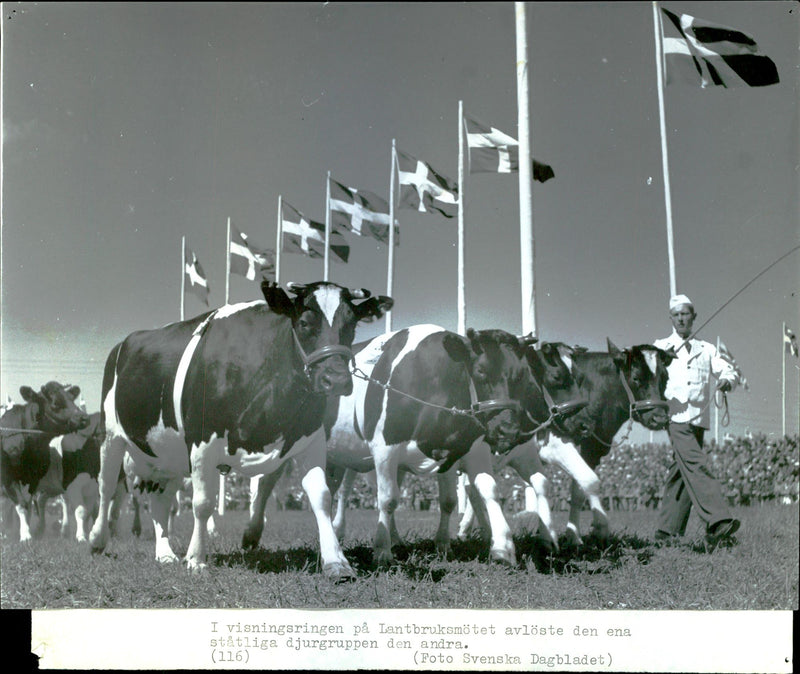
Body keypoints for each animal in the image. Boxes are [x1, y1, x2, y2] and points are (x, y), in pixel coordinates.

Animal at [0, 384, 89, 540]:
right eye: (55, 404)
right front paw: (25, 536)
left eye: (72, 399)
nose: (84, 418)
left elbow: (28, 505)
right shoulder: (7, 478)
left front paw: (28, 531)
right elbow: (21, 505)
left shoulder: (33, 479)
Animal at [90, 278, 390, 576]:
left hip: (167, 450)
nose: (336, 379)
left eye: (351, 324)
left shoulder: (310, 439)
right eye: (304, 323)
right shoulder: (201, 440)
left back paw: (164, 553)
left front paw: (336, 561)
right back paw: (97, 540)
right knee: (106, 487)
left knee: (160, 498)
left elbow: (321, 497)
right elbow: (203, 503)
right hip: (111, 436)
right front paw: (196, 559)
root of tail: (125, 342)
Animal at [255, 322, 532, 564]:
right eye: (481, 371)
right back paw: (253, 532)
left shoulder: (457, 448)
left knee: (335, 489)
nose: (508, 428)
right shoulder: (384, 447)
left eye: (520, 375)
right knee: (268, 482)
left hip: (340, 453)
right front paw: (381, 550)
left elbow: (467, 496)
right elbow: (387, 499)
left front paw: (497, 547)